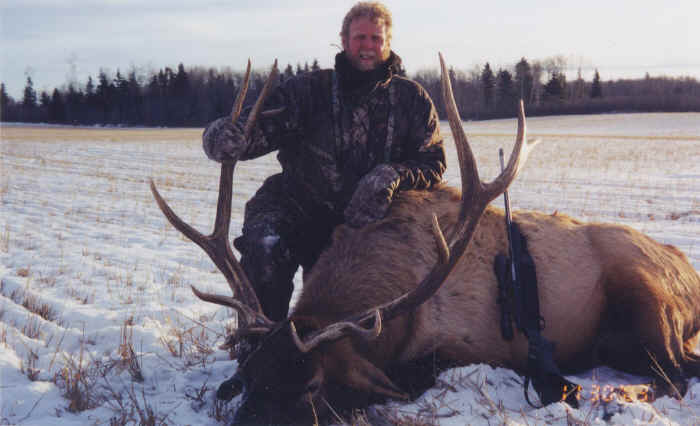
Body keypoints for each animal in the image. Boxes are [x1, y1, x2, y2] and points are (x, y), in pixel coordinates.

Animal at [150, 54, 700, 425]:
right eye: (252, 377)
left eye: (310, 386)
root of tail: (689, 272)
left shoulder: (470, 345)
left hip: (646, 296)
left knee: (673, 375)